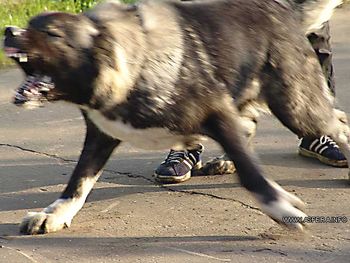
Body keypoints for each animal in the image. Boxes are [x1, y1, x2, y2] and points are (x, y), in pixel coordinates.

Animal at [2, 0, 348, 235]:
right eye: (29, 23)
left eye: (52, 34)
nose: (8, 30)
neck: (132, 60)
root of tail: (280, 8)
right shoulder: (101, 135)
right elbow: (78, 180)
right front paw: (55, 213)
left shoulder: (217, 112)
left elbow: (252, 175)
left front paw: (280, 207)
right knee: (250, 124)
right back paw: (225, 160)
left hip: (296, 106)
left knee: (338, 121)